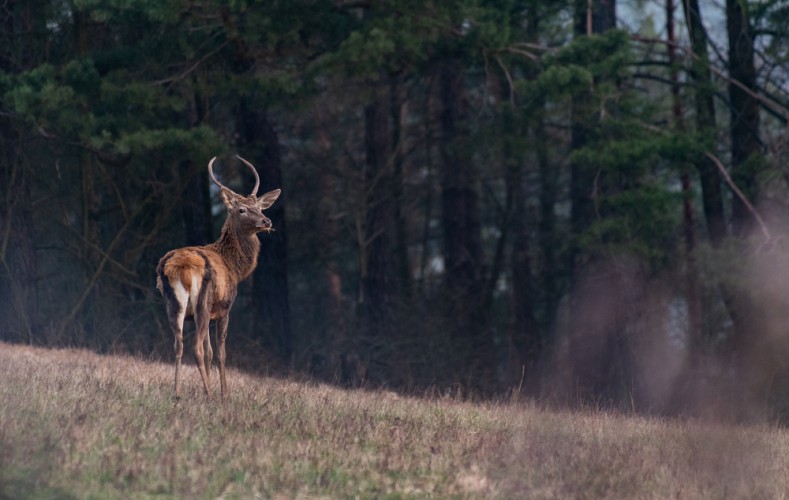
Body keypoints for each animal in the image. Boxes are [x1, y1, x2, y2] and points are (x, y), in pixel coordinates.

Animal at [155, 154, 282, 400]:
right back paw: (209, 395)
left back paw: (177, 392)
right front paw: (224, 393)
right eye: (241, 209)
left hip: (172, 304)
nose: (266, 221)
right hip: (202, 302)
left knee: (178, 344)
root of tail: (181, 268)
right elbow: (220, 352)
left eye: (258, 207)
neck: (235, 268)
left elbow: (210, 352)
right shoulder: (224, 309)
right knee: (194, 348)